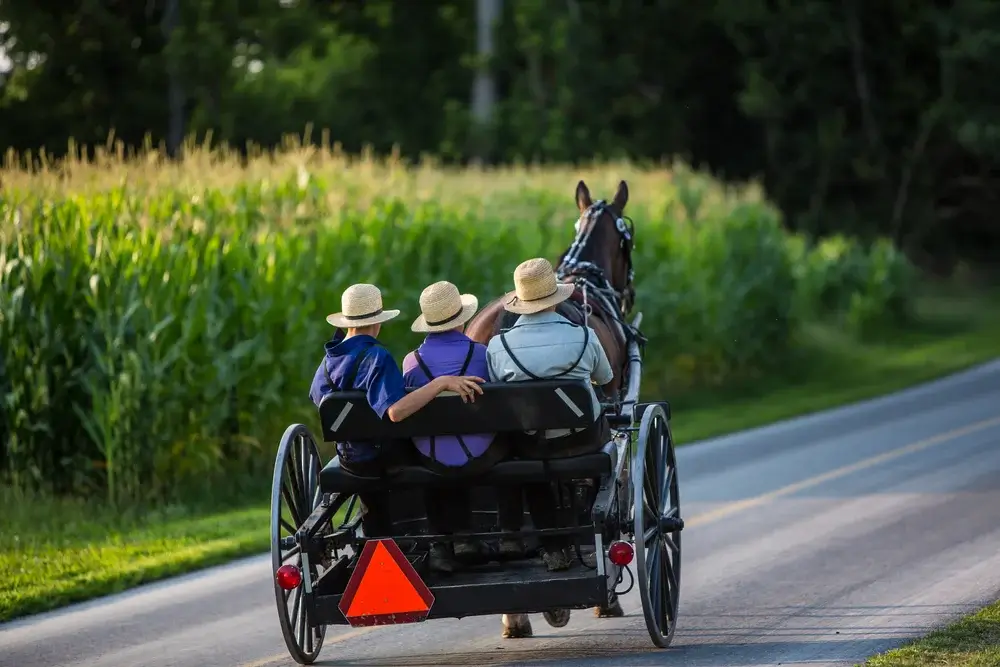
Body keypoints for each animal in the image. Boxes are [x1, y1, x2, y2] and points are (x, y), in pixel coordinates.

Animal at [462, 177, 640, 636]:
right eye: (628, 242)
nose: (628, 293)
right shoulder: (613, 413)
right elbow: (606, 489)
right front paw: (606, 597)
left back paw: (515, 609)